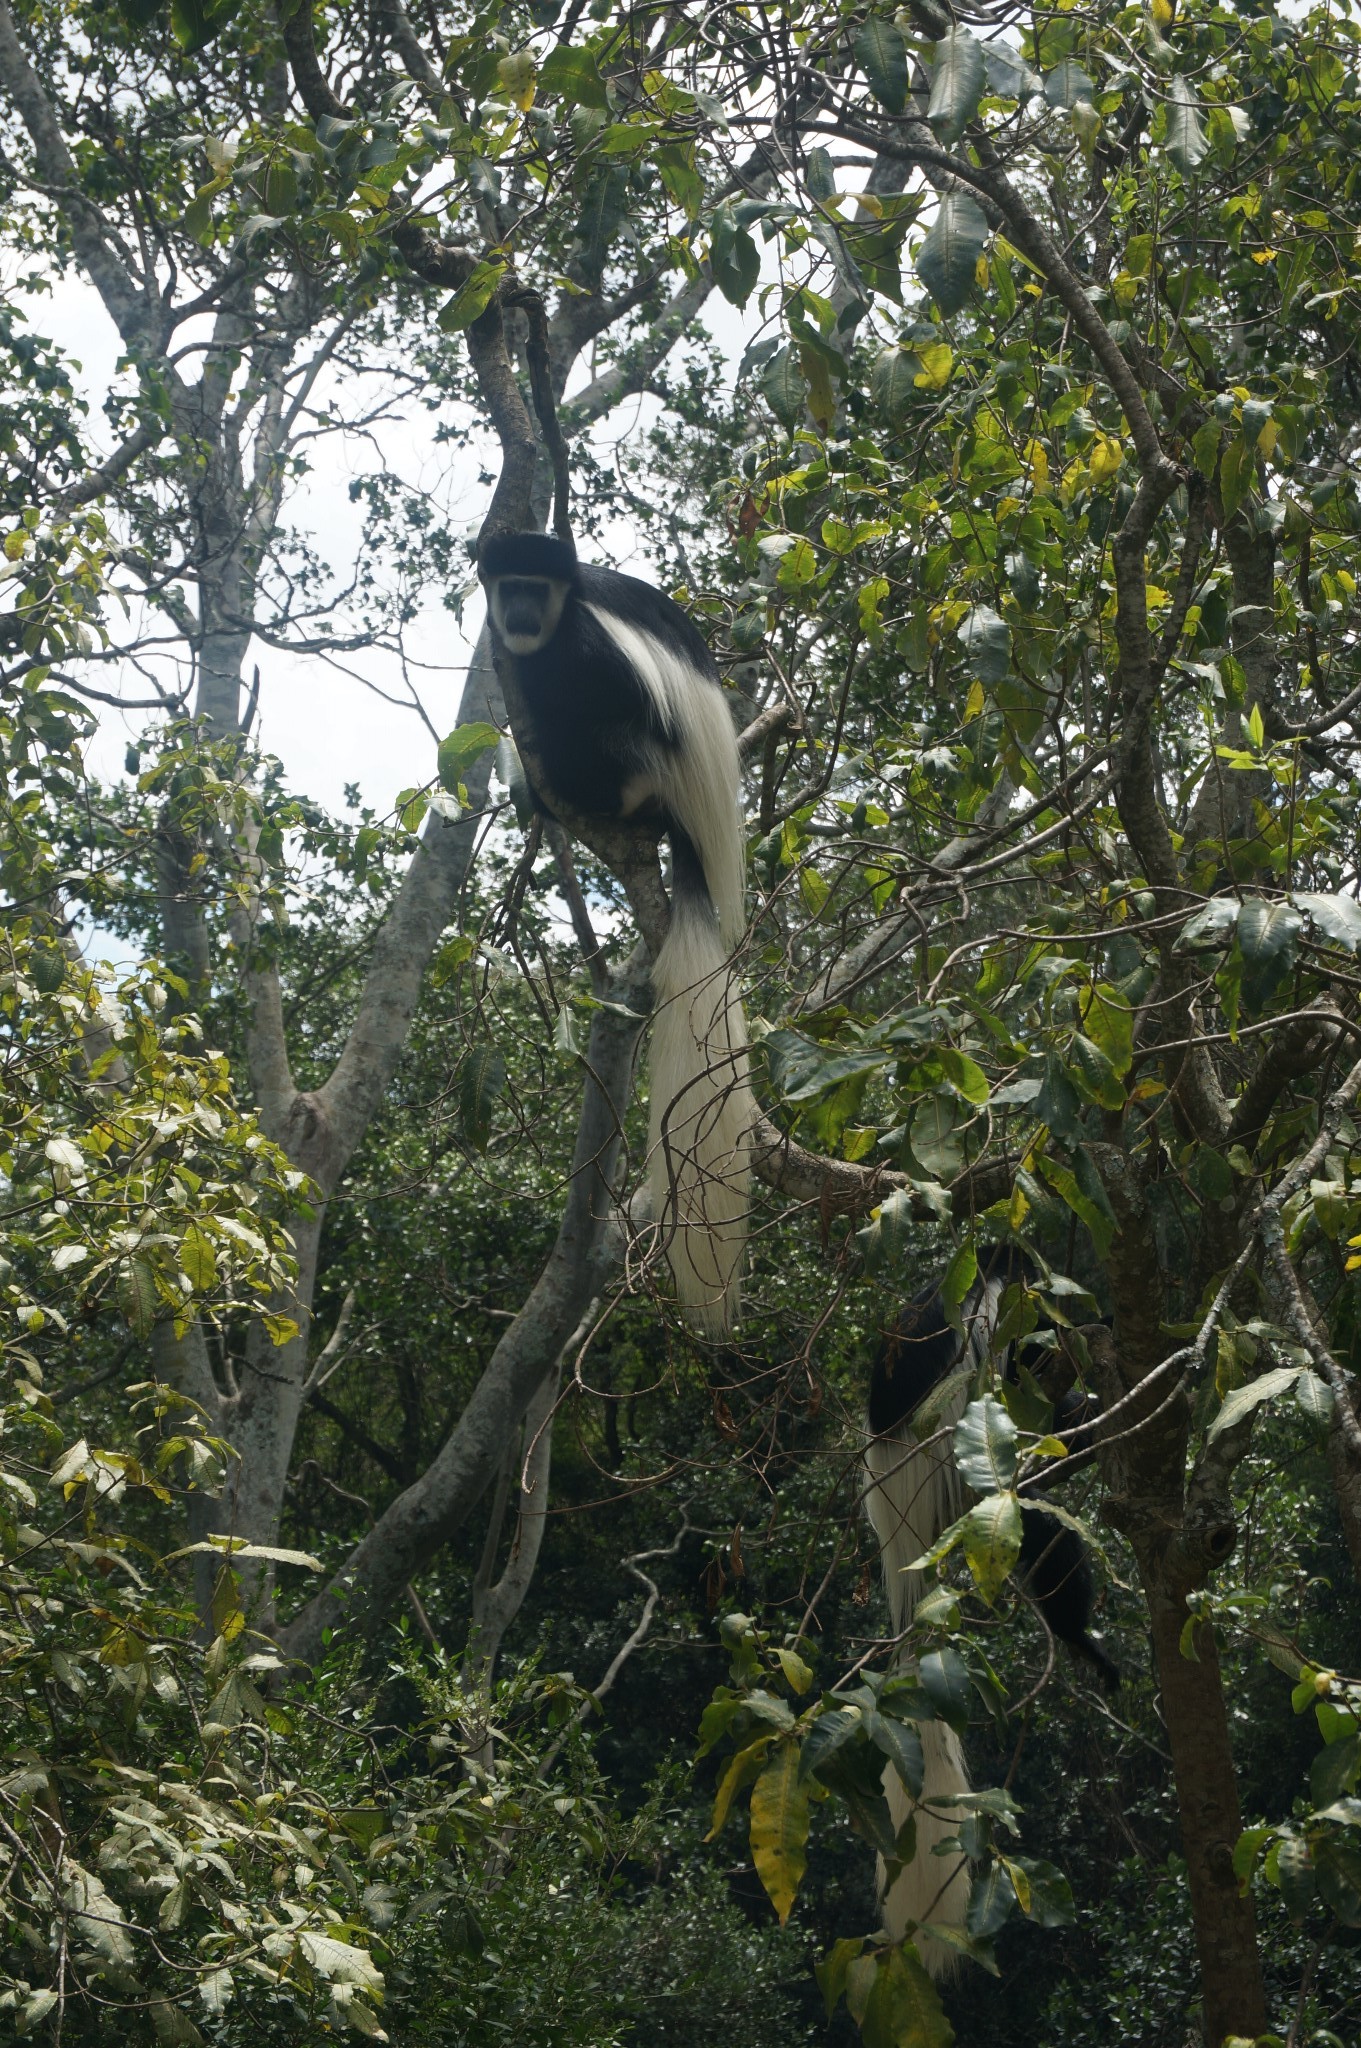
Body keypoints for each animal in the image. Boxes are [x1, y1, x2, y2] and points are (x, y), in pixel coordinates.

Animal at [476, 528, 753, 1335]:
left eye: (534, 589)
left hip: (640, 761)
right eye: (508, 588)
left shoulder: (585, 642)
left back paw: (562, 786)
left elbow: (594, 686)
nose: (520, 617)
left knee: (600, 723)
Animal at [859, 1236, 1113, 1974]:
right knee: (1043, 1526)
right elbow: (1025, 1363)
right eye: (1041, 1277)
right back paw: (1080, 1639)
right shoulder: (1002, 1313)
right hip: (970, 1484)